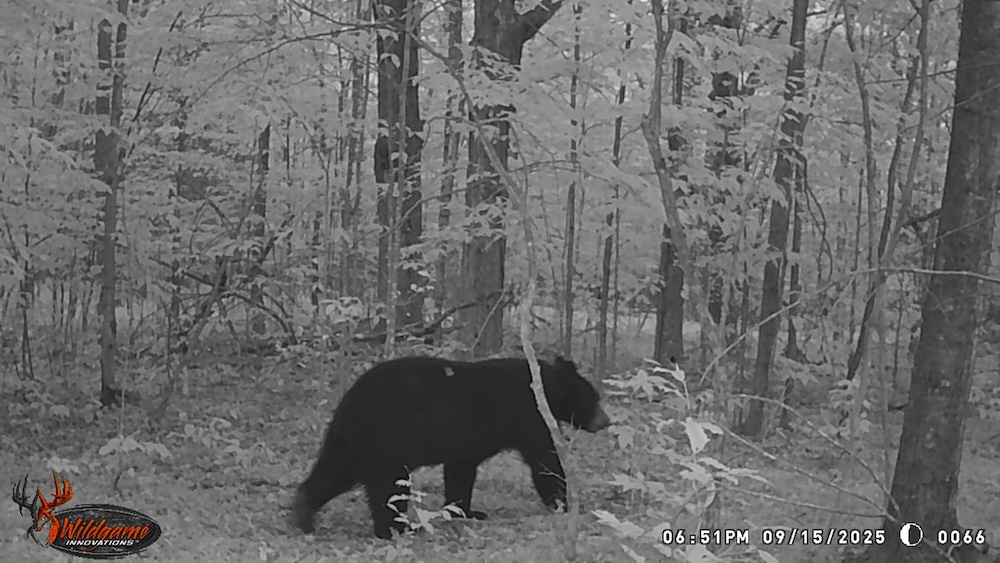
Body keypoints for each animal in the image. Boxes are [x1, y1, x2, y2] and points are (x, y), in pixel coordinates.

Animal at [291, 355, 610, 539]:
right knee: (388, 488)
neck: (546, 386)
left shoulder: (467, 441)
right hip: (387, 440)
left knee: (333, 471)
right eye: (595, 398)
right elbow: (544, 460)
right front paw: (564, 503)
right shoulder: (527, 414)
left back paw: (303, 513)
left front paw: (466, 511)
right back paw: (398, 529)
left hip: (353, 442)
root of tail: (349, 401)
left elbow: (461, 471)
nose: (606, 421)